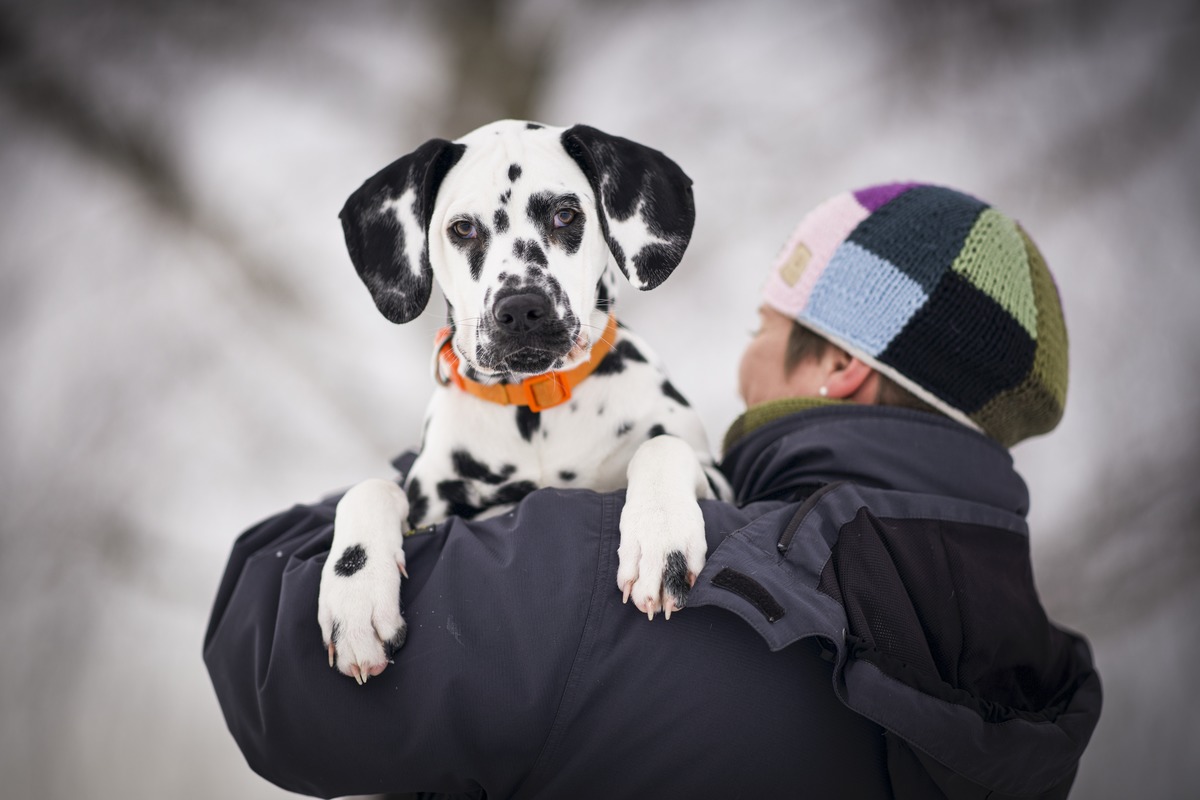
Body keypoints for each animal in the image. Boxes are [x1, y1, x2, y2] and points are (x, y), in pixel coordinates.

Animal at [319, 118, 724, 681]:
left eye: (565, 214)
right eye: (462, 228)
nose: (521, 309)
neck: (536, 405)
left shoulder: (723, 484)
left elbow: (663, 446)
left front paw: (659, 538)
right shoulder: (429, 505)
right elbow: (370, 488)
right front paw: (354, 600)